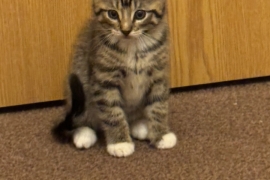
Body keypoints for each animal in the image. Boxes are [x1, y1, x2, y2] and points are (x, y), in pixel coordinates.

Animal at [52, 0, 177, 158]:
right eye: (112, 14)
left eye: (140, 14)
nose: (125, 30)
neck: (133, 47)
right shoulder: (104, 78)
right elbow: (112, 111)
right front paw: (120, 143)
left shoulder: (158, 73)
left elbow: (159, 105)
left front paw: (161, 135)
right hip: (79, 78)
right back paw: (84, 133)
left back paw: (139, 124)